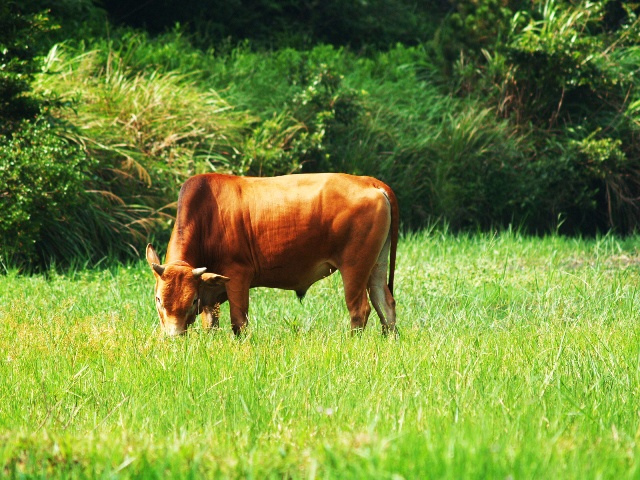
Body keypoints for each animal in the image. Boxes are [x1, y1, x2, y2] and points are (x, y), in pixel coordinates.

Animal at [147, 171, 398, 336]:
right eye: (158, 299)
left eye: (192, 300)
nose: (173, 337)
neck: (207, 218)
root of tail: (369, 181)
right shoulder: (210, 291)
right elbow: (210, 324)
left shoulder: (238, 276)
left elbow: (239, 322)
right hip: (376, 265)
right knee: (385, 303)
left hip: (354, 267)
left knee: (359, 309)